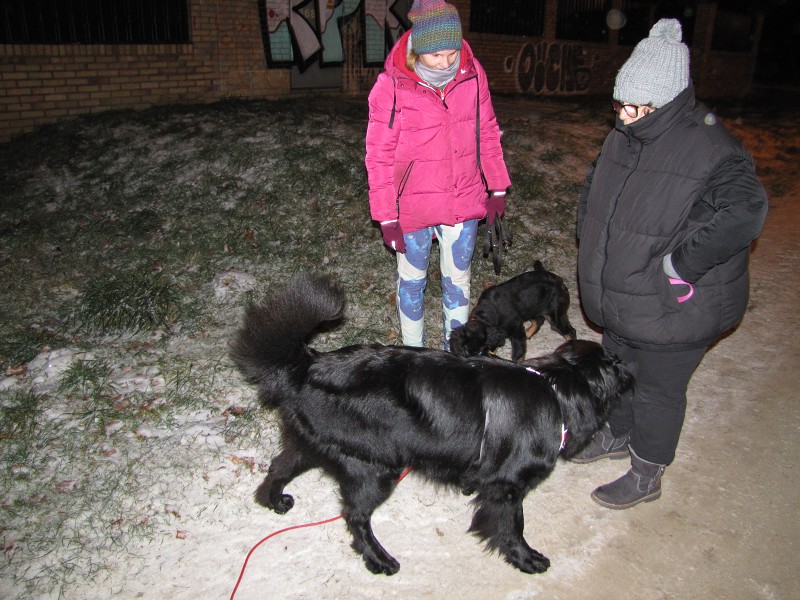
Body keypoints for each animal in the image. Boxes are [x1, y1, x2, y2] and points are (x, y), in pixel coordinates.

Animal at [230, 273, 632, 576]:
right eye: (614, 365)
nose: (632, 373)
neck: (554, 390)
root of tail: (310, 362)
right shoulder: (506, 486)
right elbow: (512, 526)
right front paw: (524, 558)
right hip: (375, 466)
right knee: (355, 516)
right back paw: (379, 559)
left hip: (313, 444)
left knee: (279, 467)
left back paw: (275, 501)